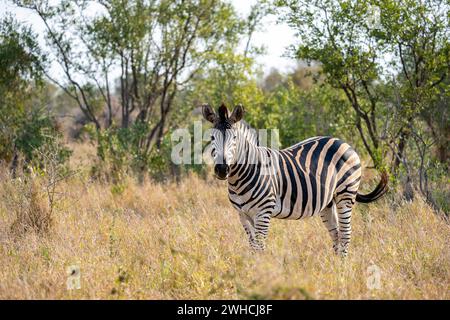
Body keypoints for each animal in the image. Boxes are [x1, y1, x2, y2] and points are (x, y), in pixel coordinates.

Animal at [202, 104, 388, 256]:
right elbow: (253, 247)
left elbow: (260, 248)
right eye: (212, 138)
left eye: (234, 138)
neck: (241, 177)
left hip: (346, 194)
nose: (222, 169)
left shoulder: (264, 212)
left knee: (345, 234)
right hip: (328, 202)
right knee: (336, 236)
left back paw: (343, 271)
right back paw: (335, 269)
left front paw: (260, 273)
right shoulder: (242, 214)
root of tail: (342, 142)